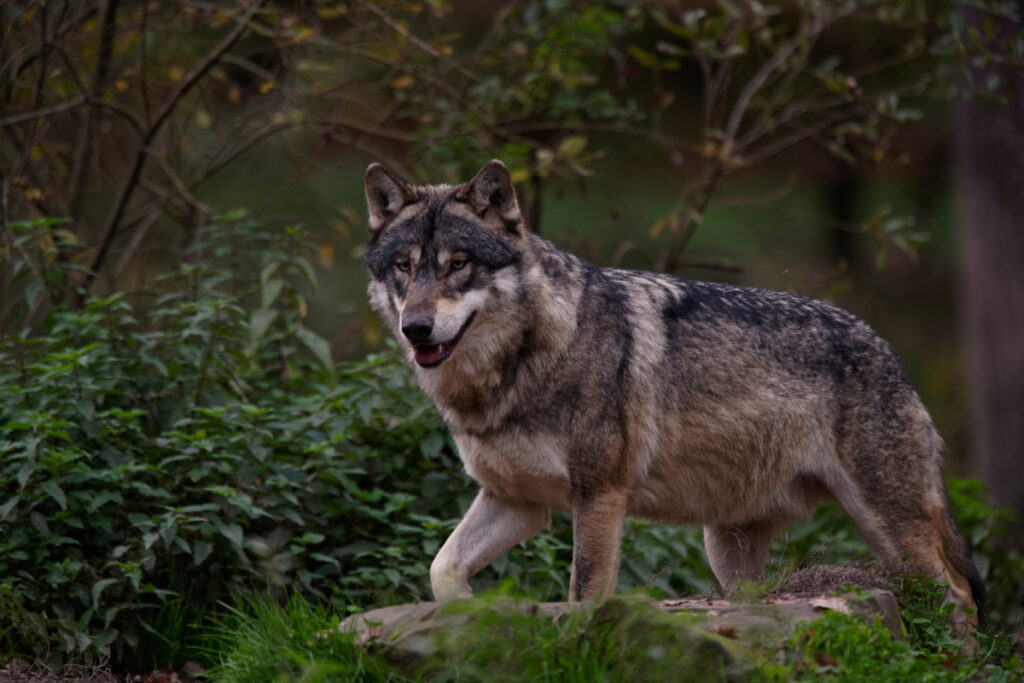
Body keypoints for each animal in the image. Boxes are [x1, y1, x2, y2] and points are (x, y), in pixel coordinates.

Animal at [363, 159, 983, 630]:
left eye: (459, 265)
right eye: (404, 267)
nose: (415, 329)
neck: (524, 361)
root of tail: (891, 351)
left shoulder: (600, 495)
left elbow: (584, 593)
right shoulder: (516, 501)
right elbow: (442, 569)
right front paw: (466, 616)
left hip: (888, 526)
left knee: (957, 593)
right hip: (728, 551)